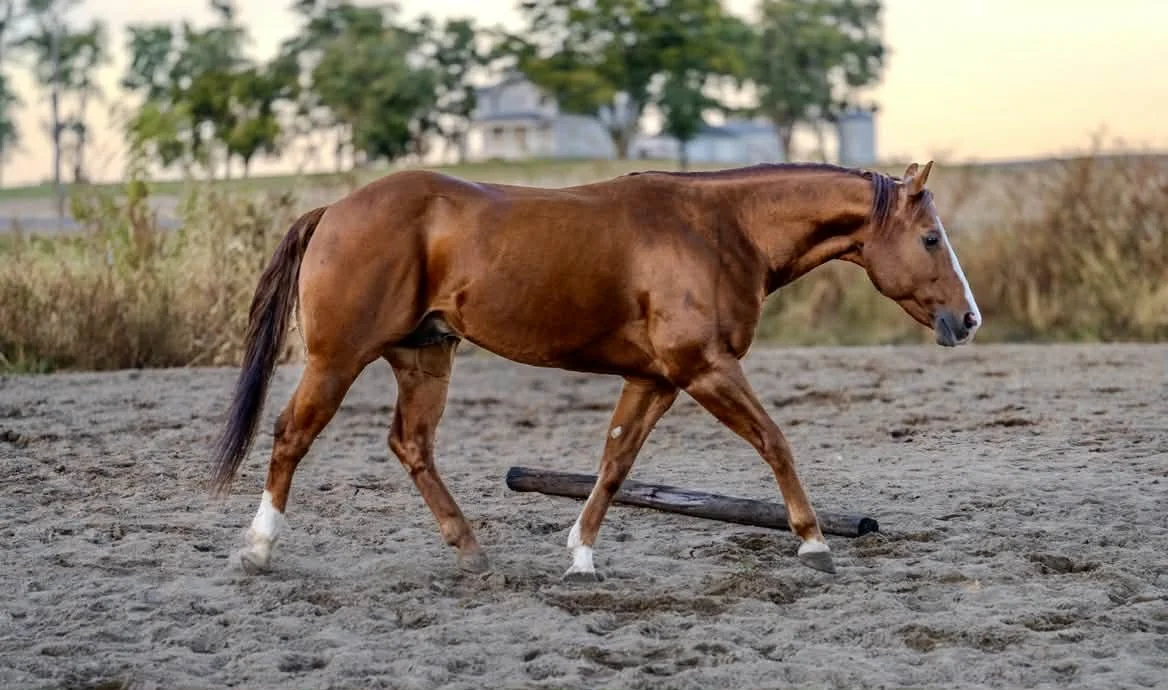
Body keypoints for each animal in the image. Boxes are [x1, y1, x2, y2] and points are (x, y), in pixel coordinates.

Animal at [208, 159, 980, 580]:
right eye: (930, 238)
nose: (968, 319)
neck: (721, 229)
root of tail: (336, 207)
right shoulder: (705, 369)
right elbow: (775, 442)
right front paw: (815, 543)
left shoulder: (656, 380)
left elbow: (614, 464)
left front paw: (580, 555)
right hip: (337, 358)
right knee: (291, 436)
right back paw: (257, 549)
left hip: (424, 357)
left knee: (412, 446)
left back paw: (471, 551)